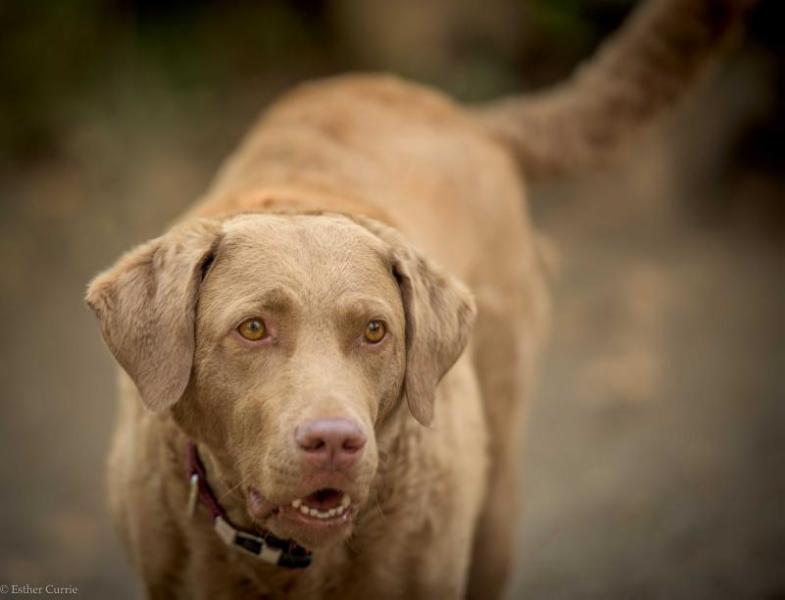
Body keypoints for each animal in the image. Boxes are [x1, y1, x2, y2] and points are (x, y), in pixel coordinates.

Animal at [84, 0, 748, 596]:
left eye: (375, 331)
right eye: (252, 328)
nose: (335, 442)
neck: (289, 561)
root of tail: (462, 113)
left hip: (497, 500)